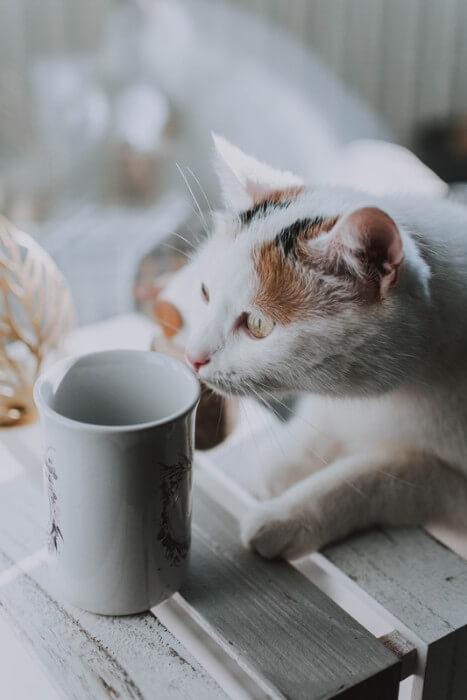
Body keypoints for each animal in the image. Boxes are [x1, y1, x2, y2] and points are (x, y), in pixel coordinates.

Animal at [162, 134, 467, 560]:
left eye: (258, 325)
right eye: (205, 292)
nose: (193, 358)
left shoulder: (451, 488)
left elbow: (383, 473)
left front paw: (285, 516)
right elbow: (322, 423)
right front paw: (283, 465)